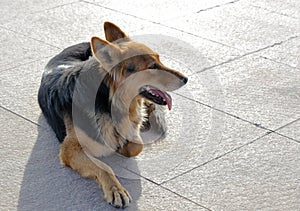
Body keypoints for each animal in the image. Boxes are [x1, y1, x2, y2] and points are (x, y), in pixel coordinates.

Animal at [37, 21, 188, 208]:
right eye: (152, 66)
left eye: (159, 59)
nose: (186, 79)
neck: (110, 100)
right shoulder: (69, 149)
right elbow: (104, 167)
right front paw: (115, 189)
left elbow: (136, 145)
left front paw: (122, 144)